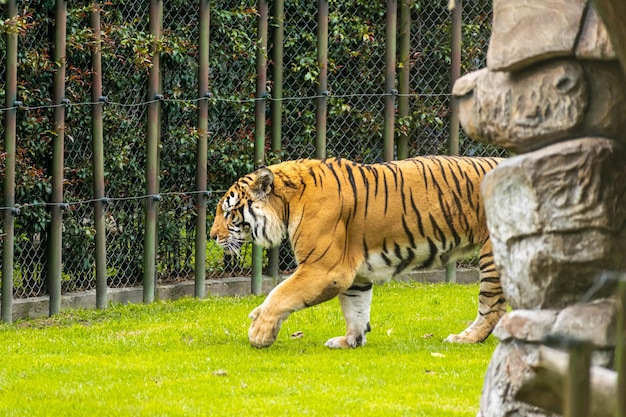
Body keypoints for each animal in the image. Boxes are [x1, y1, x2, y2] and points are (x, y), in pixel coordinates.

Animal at [207, 156, 504, 348]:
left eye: (229, 212)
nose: (212, 236)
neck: (288, 204)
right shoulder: (355, 275)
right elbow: (356, 309)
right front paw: (350, 341)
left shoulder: (324, 269)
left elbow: (280, 294)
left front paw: (259, 331)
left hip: (492, 257)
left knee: (492, 308)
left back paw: (465, 338)